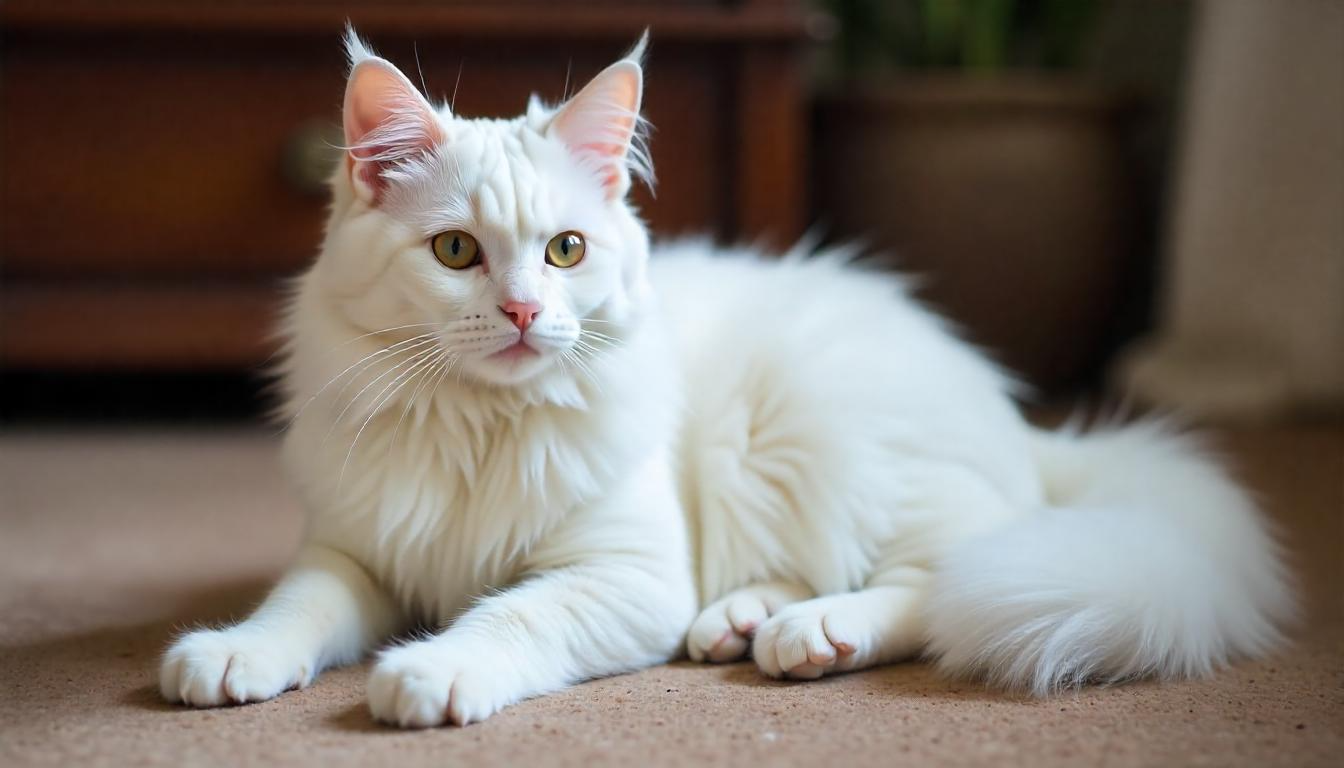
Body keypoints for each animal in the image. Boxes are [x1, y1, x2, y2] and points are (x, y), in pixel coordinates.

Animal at [157, 30, 1290, 726]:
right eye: (456, 253)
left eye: (565, 252)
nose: (524, 313)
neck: (478, 426)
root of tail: (1026, 428)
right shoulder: (354, 552)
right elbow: (296, 608)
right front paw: (232, 655)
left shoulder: (624, 577)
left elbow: (509, 616)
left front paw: (432, 671)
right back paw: (742, 621)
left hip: (817, 439)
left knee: (950, 579)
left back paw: (812, 632)